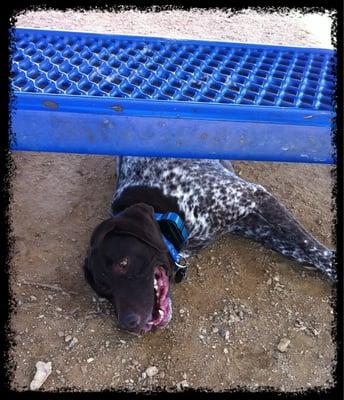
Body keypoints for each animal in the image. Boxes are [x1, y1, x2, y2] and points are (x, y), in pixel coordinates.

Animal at [84, 156, 336, 334]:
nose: (129, 324)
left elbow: (309, 245)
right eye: (104, 289)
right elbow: (301, 249)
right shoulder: (253, 225)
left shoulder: (254, 196)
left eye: (123, 263)